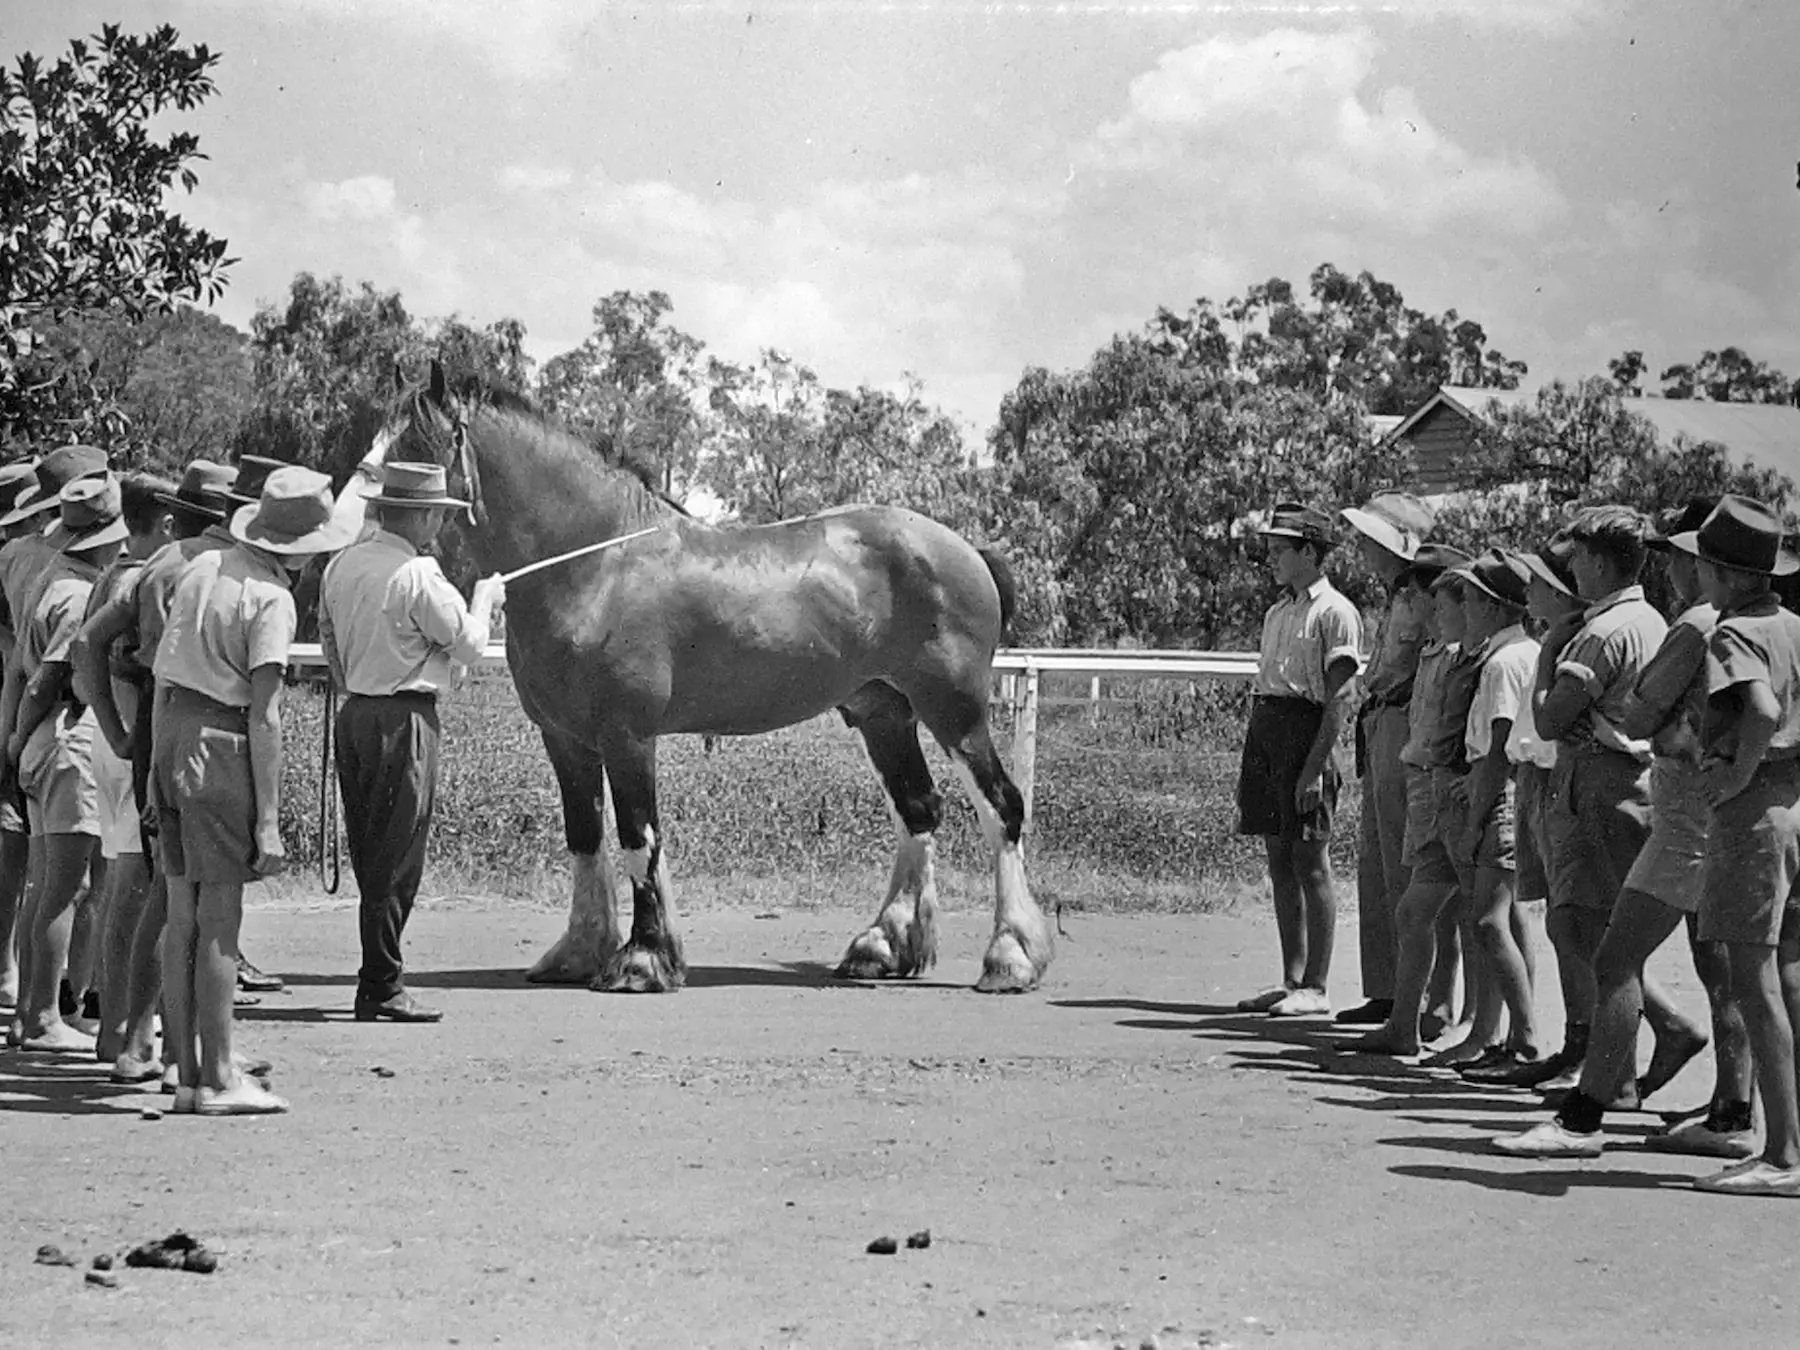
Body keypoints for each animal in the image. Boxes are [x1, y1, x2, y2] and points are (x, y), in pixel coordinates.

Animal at [379, 365, 1051, 1000]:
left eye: (417, 443)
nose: (377, 517)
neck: (595, 565)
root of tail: (967, 550)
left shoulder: (627, 737)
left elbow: (637, 839)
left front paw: (643, 961)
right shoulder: (565, 739)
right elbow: (585, 838)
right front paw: (578, 954)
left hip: (954, 711)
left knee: (1001, 808)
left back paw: (1010, 957)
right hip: (884, 714)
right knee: (918, 810)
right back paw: (881, 947)